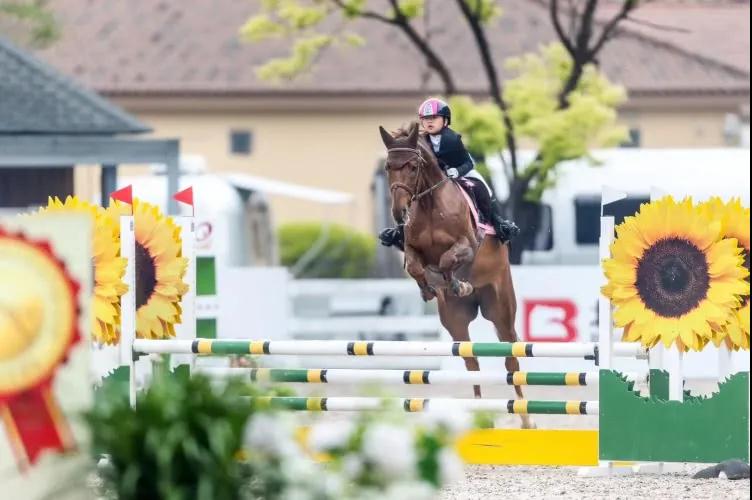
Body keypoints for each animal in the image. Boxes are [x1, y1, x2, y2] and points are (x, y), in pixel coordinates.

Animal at [379, 122, 535, 429]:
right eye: (389, 166)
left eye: (412, 167)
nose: (399, 213)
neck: (429, 205)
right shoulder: (411, 249)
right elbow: (415, 267)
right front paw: (430, 288)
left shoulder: (468, 244)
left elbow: (448, 258)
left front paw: (456, 283)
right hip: (455, 320)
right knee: (471, 362)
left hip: (500, 308)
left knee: (511, 358)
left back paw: (526, 420)